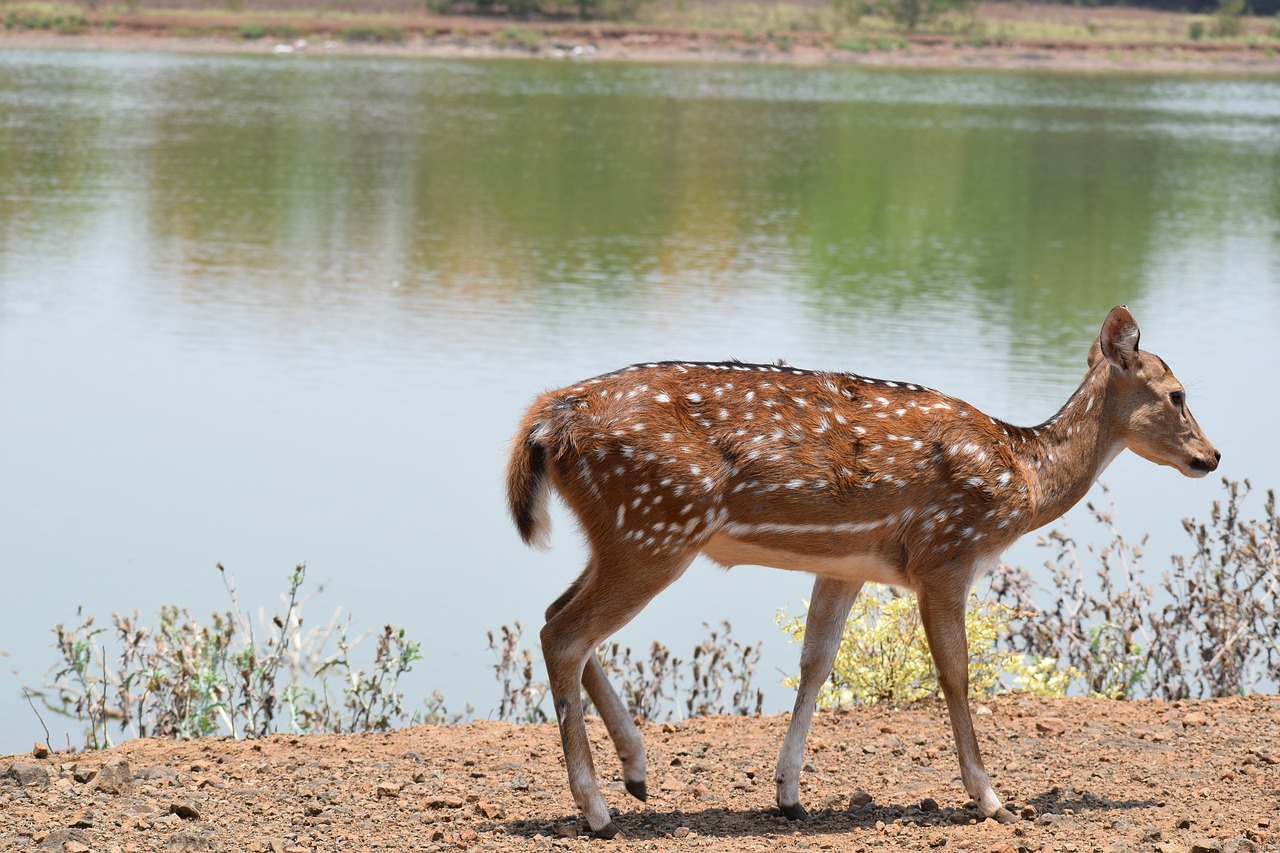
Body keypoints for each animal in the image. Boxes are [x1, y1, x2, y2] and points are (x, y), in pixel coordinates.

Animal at [506, 302, 1218, 835]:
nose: (1211, 457)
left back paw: (637, 771)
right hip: (656, 527)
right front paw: (992, 800)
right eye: (1177, 394)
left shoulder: (847, 566)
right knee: (565, 633)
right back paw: (597, 808)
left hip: (624, 534)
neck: (1024, 477)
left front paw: (789, 794)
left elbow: (816, 664)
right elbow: (956, 674)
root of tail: (545, 420)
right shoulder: (946, 554)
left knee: (554, 617)